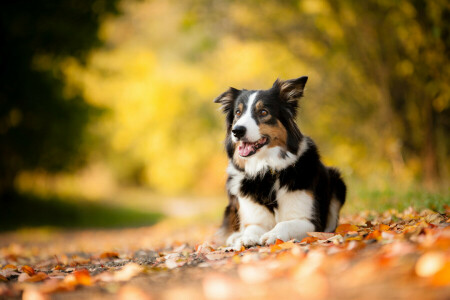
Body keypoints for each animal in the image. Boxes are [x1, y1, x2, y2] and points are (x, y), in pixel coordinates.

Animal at [213, 76, 346, 250]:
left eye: (263, 112)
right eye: (238, 113)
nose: (237, 131)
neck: (266, 171)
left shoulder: (309, 221)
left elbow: (285, 224)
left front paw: (273, 235)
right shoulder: (255, 218)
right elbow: (251, 228)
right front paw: (245, 238)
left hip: (337, 182)